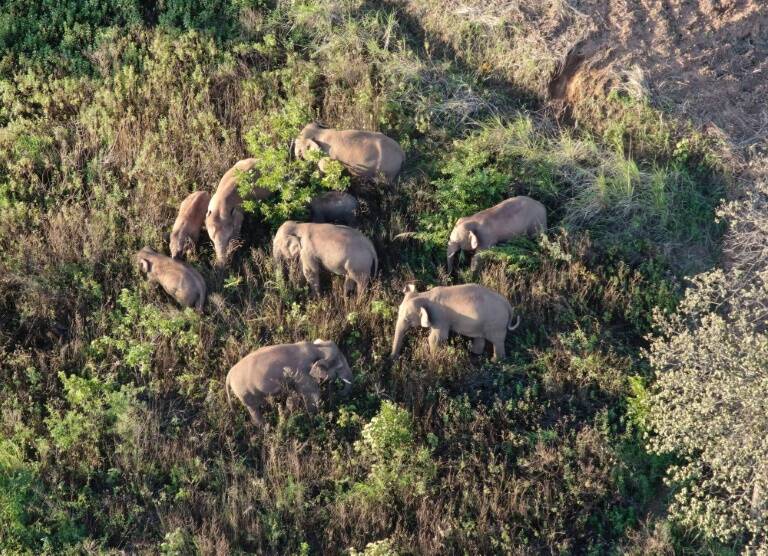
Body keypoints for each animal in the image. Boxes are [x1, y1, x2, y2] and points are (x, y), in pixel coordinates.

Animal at [224, 338, 352, 426]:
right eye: (340, 367)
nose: (337, 391)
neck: (316, 348)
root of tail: (228, 376)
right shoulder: (303, 374)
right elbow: (311, 394)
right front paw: (314, 418)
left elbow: (294, 395)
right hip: (244, 392)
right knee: (254, 408)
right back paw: (267, 427)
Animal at [390, 284, 520, 362]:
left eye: (407, 319)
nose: (394, 358)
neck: (425, 295)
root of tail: (508, 306)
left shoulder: (440, 317)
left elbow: (436, 338)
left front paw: (434, 359)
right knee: (480, 337)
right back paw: (474, 353)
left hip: (496, 323)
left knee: (497, 341)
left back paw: (495, 361)